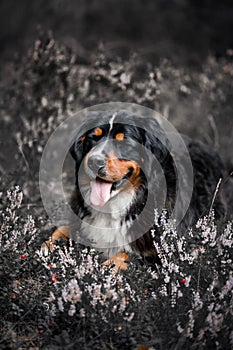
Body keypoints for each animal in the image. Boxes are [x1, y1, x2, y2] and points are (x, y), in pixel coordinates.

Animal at [42, 110, 228, 272]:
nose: (94, 162)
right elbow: (61, 230)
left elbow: (125, 255)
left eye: (123, 142)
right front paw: (47, 247)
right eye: (94, 138)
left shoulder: (162, 250)